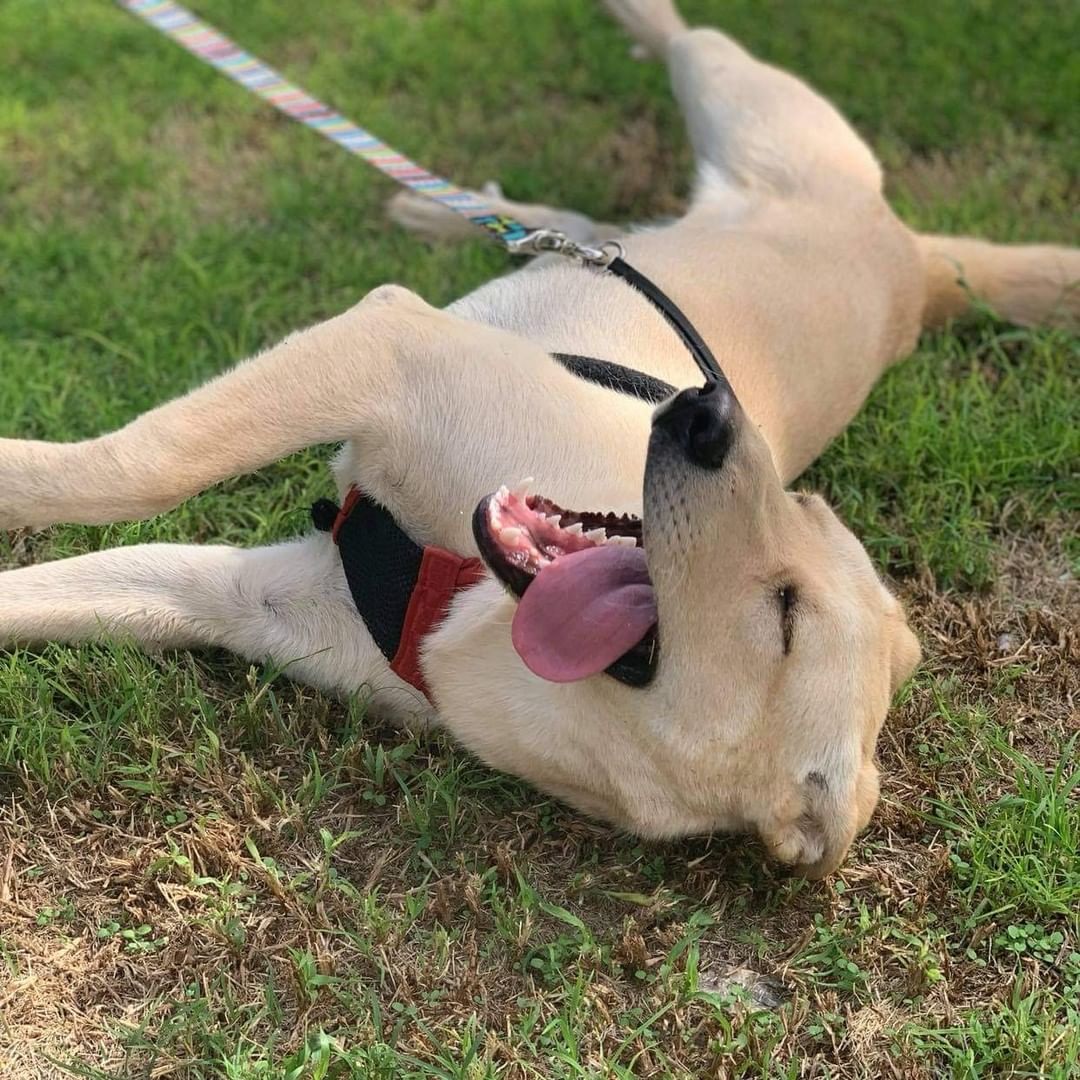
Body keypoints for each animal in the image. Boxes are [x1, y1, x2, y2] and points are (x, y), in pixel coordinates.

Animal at [0, 0, 1075, 872]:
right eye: (803, 509)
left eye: (785, 614)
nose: (709, 410)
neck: (465, 601)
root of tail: (916, 264)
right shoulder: (390, 345)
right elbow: (133, 467)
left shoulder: (249, 574)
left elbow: (131, 479)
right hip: (739, 110)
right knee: (666, 79)